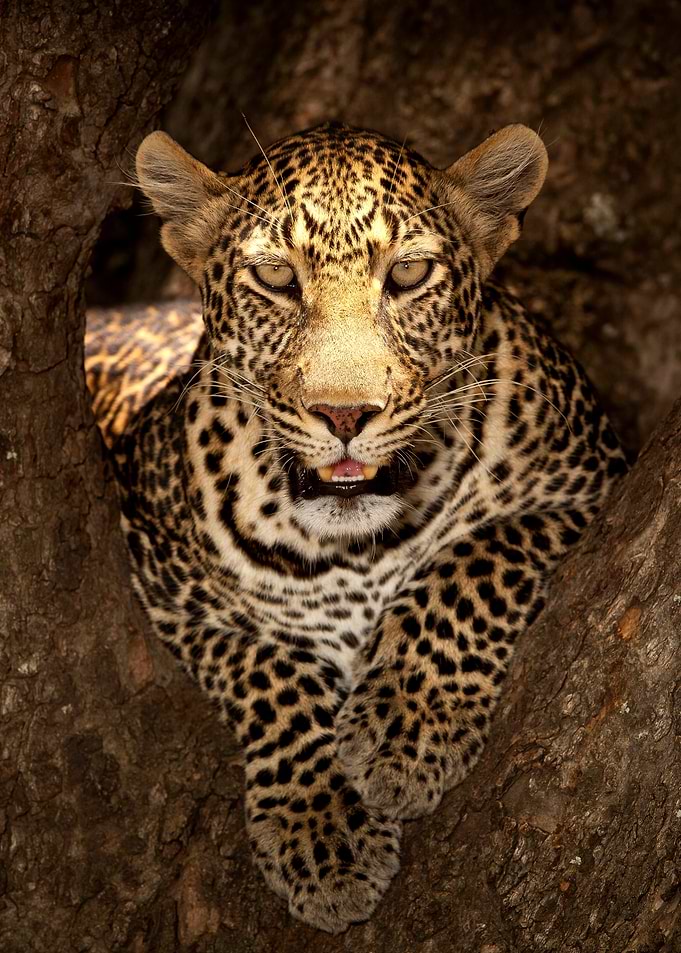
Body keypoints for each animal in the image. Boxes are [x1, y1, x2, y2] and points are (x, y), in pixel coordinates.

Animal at [84, 120, 627, 933]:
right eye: (277, 278)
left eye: (407, 273)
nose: (344, 415)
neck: (354, 548)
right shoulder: (164, 588)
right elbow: (268, 669)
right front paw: (323, 832)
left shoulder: (590, 482)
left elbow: (473, 560)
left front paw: (407, 726)